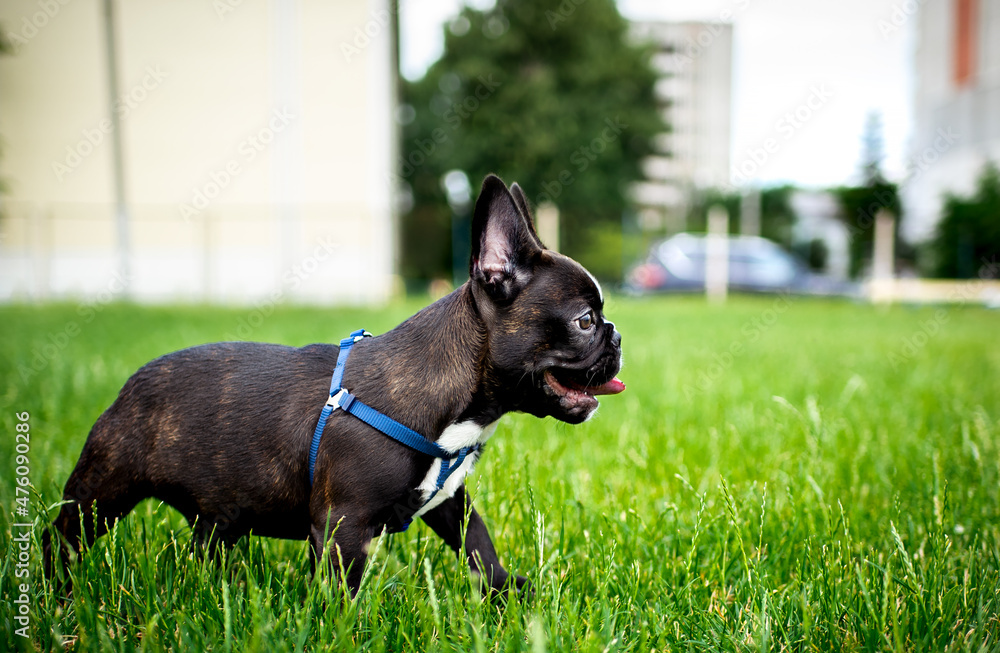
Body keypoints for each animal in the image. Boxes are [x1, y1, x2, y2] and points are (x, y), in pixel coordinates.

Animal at [48, 173, 624, 596]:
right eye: (584, 321)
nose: (616, 335)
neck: (459, 404)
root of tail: (130, 383)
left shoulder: (449, 502)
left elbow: (479, 544)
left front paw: (508, 592)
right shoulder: (343, 524)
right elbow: (340, 590)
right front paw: (337, 627)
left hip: (219, 510)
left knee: (206, 545)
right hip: (104, 489)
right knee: (66, 539)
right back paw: (61, 593)